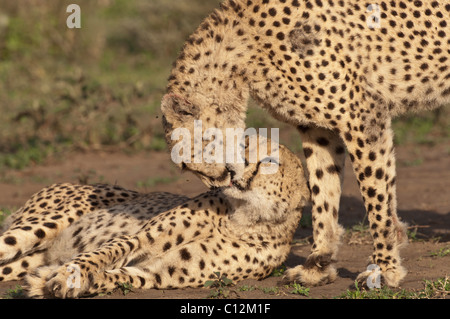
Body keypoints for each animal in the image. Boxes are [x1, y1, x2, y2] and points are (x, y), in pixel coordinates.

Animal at [0, 144, 310, 298]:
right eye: (243, 145)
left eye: (270, 160)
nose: (230, 165)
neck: (242, 217)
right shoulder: (140, 237)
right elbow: (100, 254)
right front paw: (68, 275)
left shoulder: (159, 274)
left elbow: (119, 276)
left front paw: (56, 283)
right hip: (44, 225)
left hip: (29, 258)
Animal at [160, 0, 448, 288]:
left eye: (186, 164)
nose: (218, 184)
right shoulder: (319, 129)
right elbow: (323, 190)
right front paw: (317, 265)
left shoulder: (362, 118)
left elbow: (377, 198)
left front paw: (384, 268)